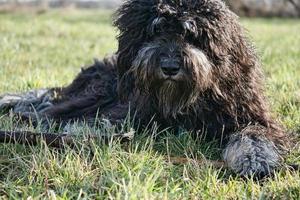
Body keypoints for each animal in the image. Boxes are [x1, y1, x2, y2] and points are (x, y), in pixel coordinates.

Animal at [0, 0, 290, 178]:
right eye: (155, 31)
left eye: (190, 34)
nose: (170, 67)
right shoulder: (132, 110)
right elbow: (109, 122)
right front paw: (85, 130)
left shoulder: (249, 113)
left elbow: (253, 133)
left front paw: (255, 158)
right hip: (96, 94)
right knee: (47, 111)